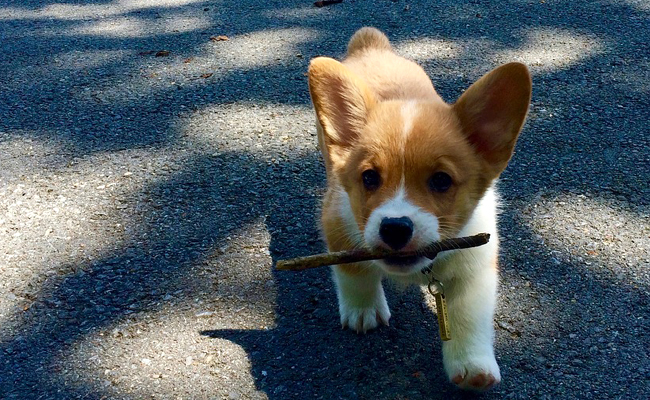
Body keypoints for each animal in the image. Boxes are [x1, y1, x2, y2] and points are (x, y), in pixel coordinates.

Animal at [306, 28, 528, 390]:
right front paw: (363, 311)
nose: (395, 227)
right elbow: (353, 274)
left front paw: (473, 365)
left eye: (441, 180)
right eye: (369, 177)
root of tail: (371, 44)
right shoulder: (337, 224)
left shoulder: (476, 263)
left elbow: (469, 315)